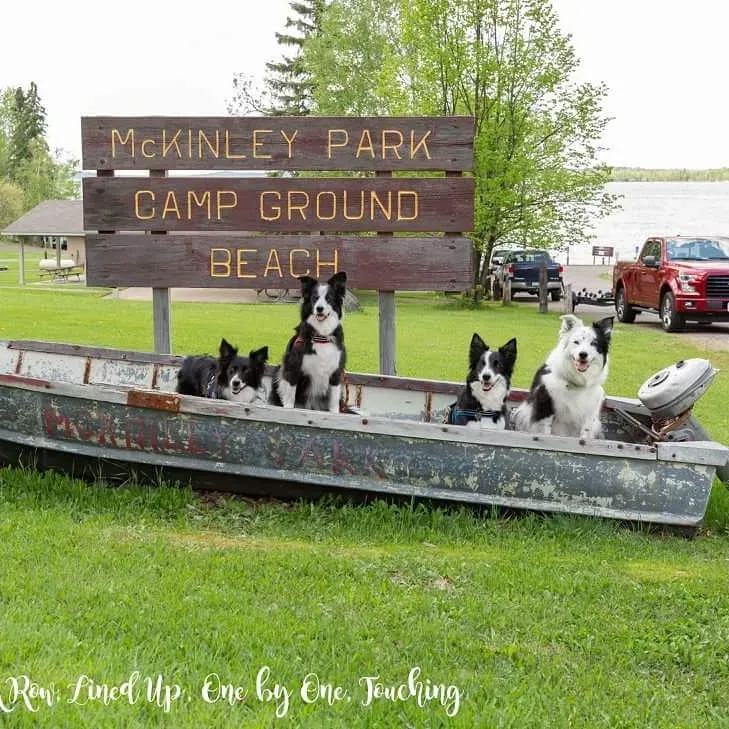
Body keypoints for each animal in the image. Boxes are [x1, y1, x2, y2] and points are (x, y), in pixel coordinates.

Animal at [270, 272, 346, 412]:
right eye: (315, 298)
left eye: (329, 298)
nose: (319, 308)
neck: (321, 335)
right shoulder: (293, 367)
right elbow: (290, 394)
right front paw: (288, 408)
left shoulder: (336, 372)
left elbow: (334, 401)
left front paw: (335, 413)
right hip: (279, 370)